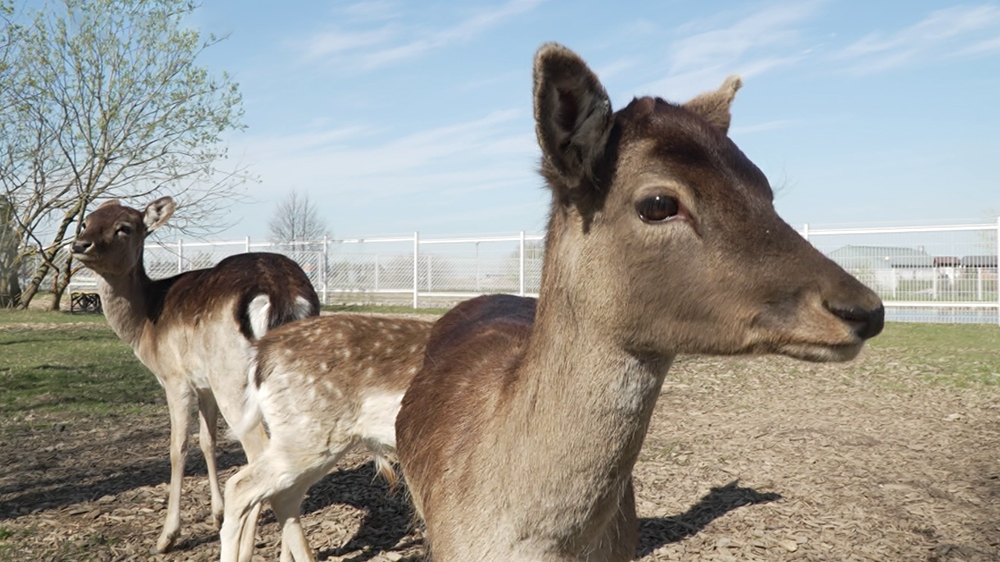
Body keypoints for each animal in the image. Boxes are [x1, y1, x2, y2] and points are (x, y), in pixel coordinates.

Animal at [71, 196, 320, 552]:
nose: (80, 244)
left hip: (233, 379)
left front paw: (166, 537)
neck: (144, 326)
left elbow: (178, 447)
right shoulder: (205, 386)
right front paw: (216, 513)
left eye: (125, 227)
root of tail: (279, 292)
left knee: (258, 452)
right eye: (85, 221)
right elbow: (207, 440)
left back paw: (243, 546)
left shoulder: (175, 378)